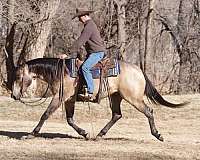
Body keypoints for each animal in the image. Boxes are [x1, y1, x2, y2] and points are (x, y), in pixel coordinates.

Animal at [10, 57, 187, 141]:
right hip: (116, 97)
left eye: (18, 77)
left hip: (133, 98)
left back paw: (157, 134)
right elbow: (70, 119)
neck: (62, 72)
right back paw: (100, 134)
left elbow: (45, 114)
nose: (13, 95)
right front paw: (85, 133)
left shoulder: (60, 97)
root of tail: (138, 70)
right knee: (117, 115)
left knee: (148, 111)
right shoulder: (69, 100)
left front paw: (31, 134)